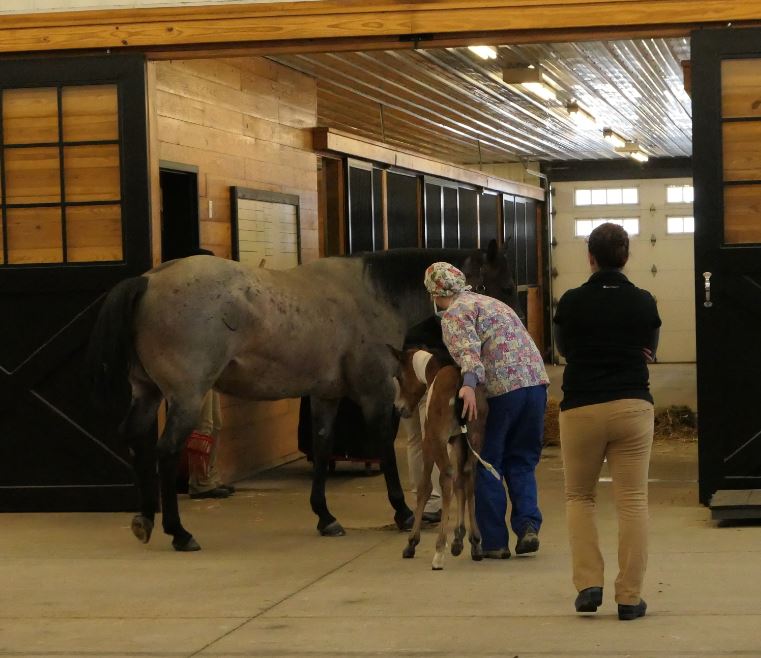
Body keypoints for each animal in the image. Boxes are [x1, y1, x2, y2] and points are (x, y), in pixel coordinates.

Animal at [388, 346, 490, 568]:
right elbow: (461, 484)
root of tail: (461, 386)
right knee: (468, 475)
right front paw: (459, 539)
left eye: (399, 377)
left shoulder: (430, 442)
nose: (399, 408)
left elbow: (425, 487)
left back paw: (439, 550)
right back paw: (476, 543)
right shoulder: (458, 442)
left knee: (446, 477)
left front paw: (412, 543)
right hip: (475, 438)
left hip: (438, 440)